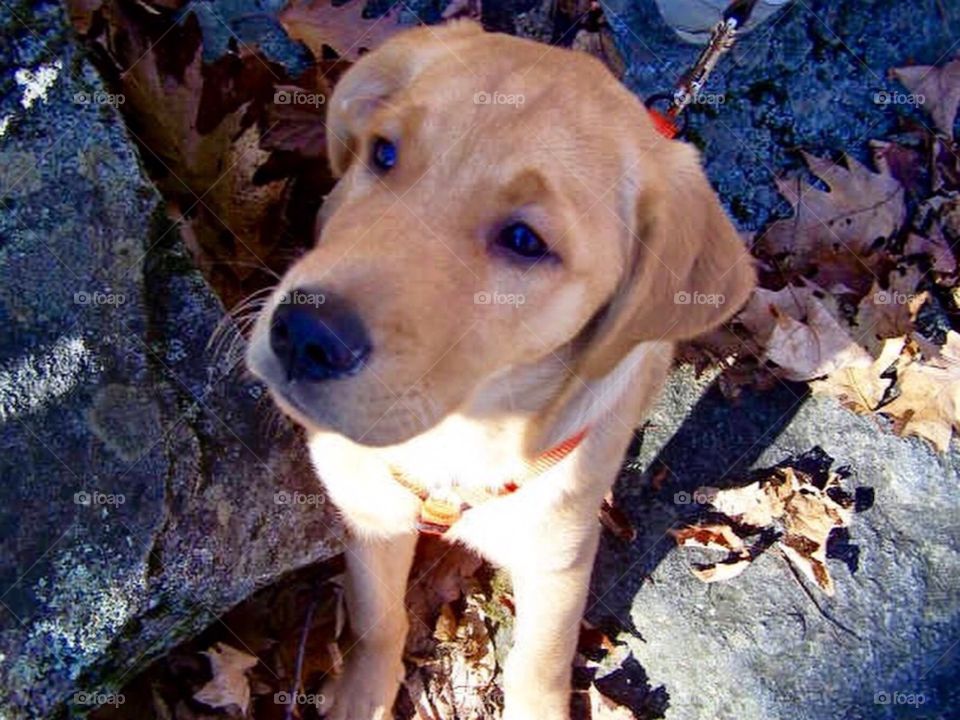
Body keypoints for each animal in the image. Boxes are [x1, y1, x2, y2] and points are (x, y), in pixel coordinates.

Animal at [248, 19, 756, 716]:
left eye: (524, 241)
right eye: (384, 152)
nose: (304, 336)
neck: (463, 436)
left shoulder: (558, 558)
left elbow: (538, 663)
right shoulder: (369, 512)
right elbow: (379, 620)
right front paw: (362, 693)